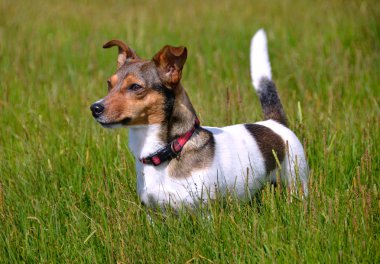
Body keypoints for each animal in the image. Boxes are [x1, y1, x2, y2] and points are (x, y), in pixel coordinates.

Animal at [90, 29, 308, 210]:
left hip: (297, 181)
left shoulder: (204, 213)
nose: (95, 108)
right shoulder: (154, 214)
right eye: (109, 84)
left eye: (135, 87)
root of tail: (274, 123)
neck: (168, 150)